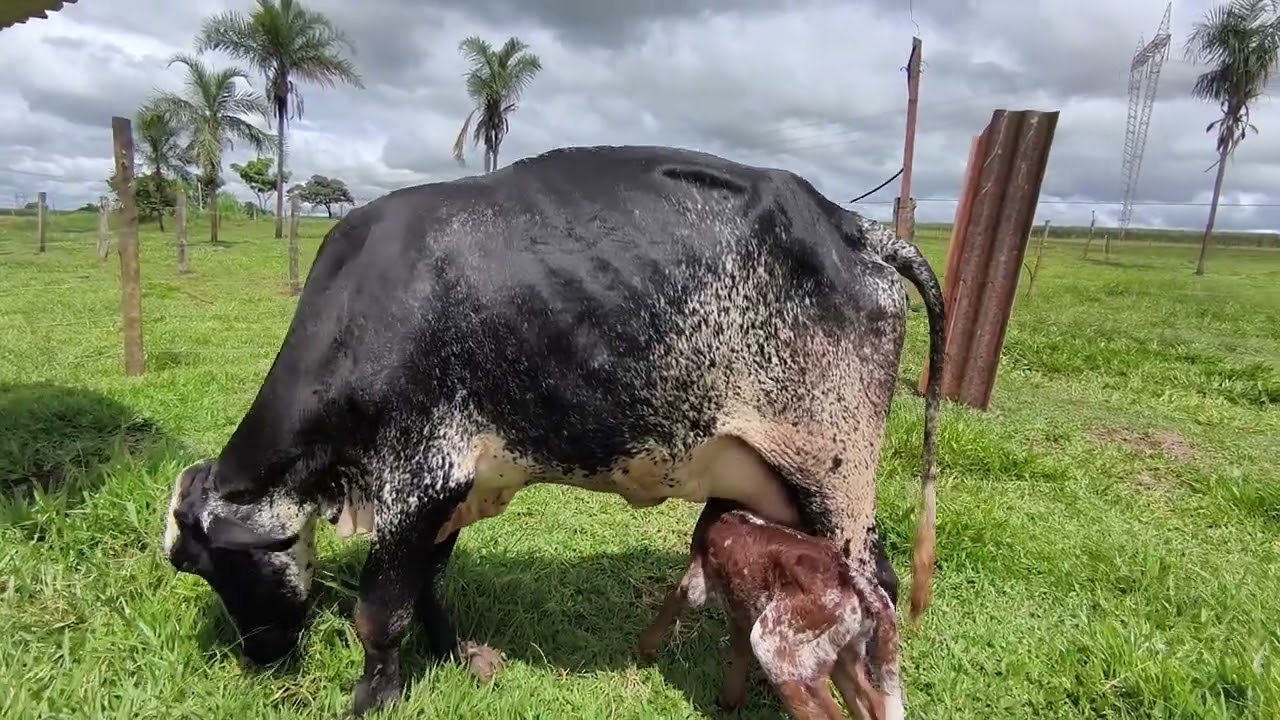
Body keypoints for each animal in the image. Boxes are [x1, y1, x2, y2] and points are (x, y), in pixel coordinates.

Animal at [636, 498, 903, 720]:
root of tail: (855, 581)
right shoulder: (741, 603)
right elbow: (739, 648)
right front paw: (729, 700)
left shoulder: (697, 582)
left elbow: (672, 601)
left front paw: (645, 649)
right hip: (842, 651)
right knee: (873, 704)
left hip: (777, 649)